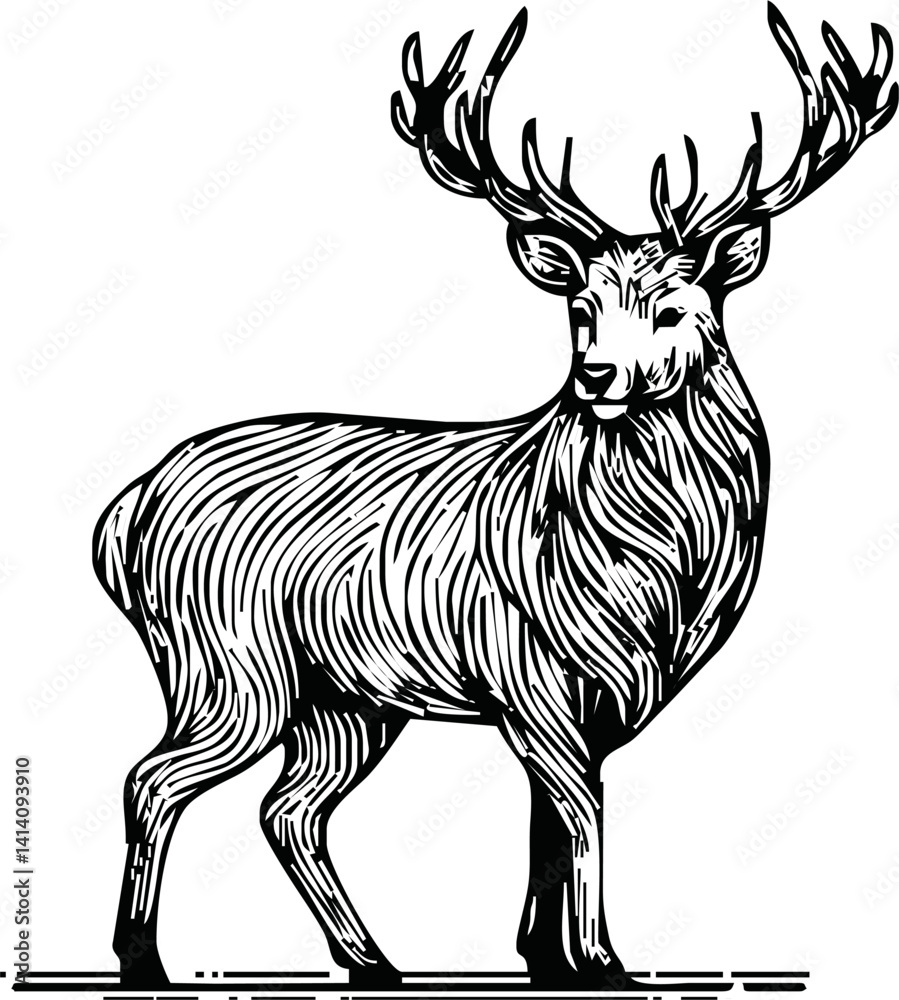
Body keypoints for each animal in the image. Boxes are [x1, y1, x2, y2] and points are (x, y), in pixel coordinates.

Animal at [93, 3, 896, 989]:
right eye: (580, 309)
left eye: (674, 308)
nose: (597, 375)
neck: (654, 580)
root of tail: (121, 516)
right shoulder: (528, 670)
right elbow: (580, 813)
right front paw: (603, 962)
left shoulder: (590, 700)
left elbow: (550, 821)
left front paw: (545, 955)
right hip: (229, 665)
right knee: (153, 777)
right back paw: (142, 958)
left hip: (346, 701)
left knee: (290, 808)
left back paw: (372, 961)